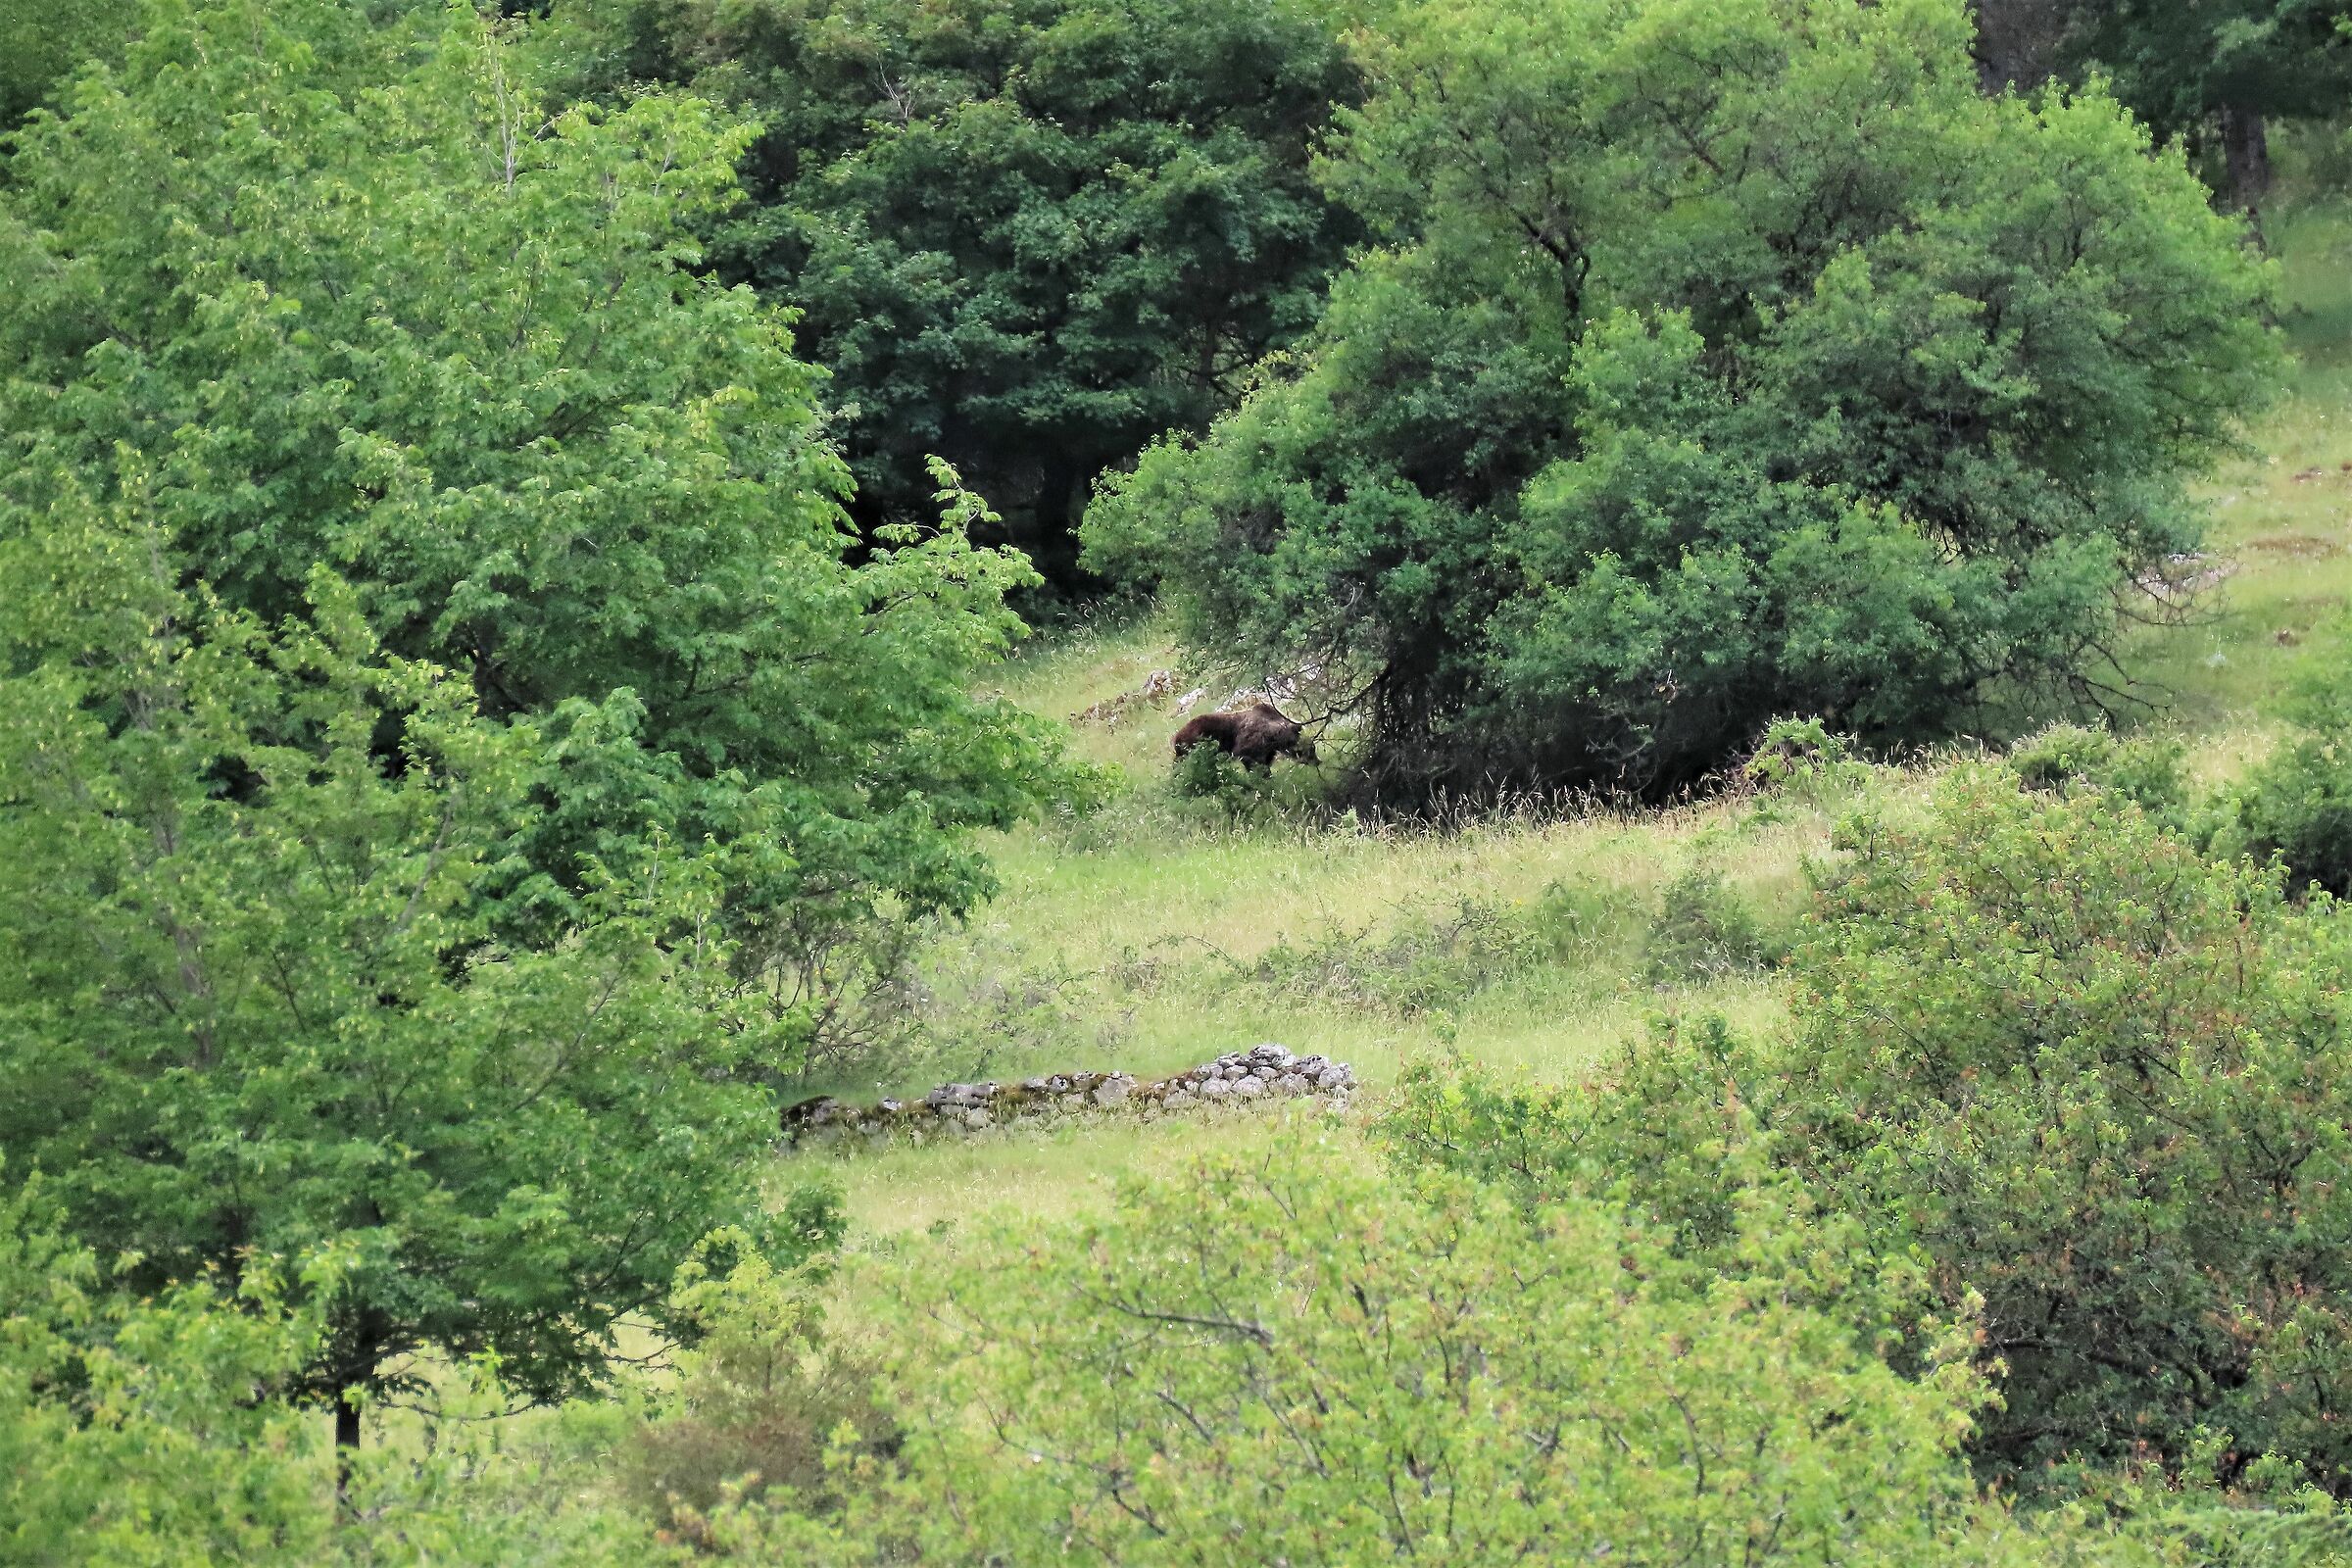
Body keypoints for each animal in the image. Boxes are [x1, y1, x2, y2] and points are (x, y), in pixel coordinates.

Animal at [1171, 702, 1318, 773]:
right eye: (1311, 748)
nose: (1318, 761)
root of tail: (1176, 736)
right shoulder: (1248, 745)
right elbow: (1249, 759)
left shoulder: (1267, 751)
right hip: (1193, 746)